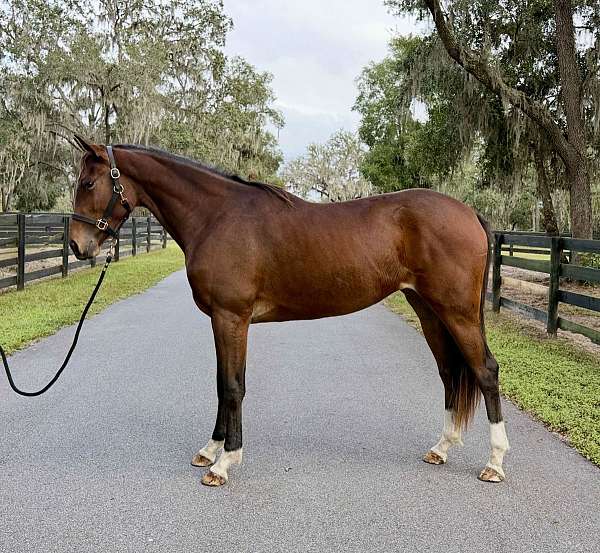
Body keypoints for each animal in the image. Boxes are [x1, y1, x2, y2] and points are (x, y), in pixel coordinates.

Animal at [71, 136, 510, 486]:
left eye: (88, 183)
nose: (77, 246)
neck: (217, 216)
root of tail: (469, 212)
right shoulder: (222, 320)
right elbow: (220, 383)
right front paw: (210, 449)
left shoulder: (232, 317)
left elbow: (233, 386)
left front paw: (224, 463)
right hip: (428, 310)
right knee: (450, 372)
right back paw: (442, 447)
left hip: (457, 312)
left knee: (485, 371)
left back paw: (494, 463)